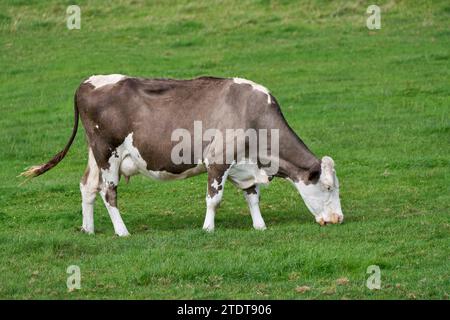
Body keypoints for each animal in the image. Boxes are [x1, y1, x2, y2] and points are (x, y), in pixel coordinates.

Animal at [21, 74, 342, 235]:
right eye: (327, 187)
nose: (338, 218)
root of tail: (87, 82)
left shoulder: (244, 165)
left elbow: (252, 196)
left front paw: (260, 226)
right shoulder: (218, 160)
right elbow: (214, 199)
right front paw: (208, 228)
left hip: (95, 153)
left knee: (87, 186)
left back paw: (88, 230)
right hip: (107, 153)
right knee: (107, 192)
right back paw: (122, 231)